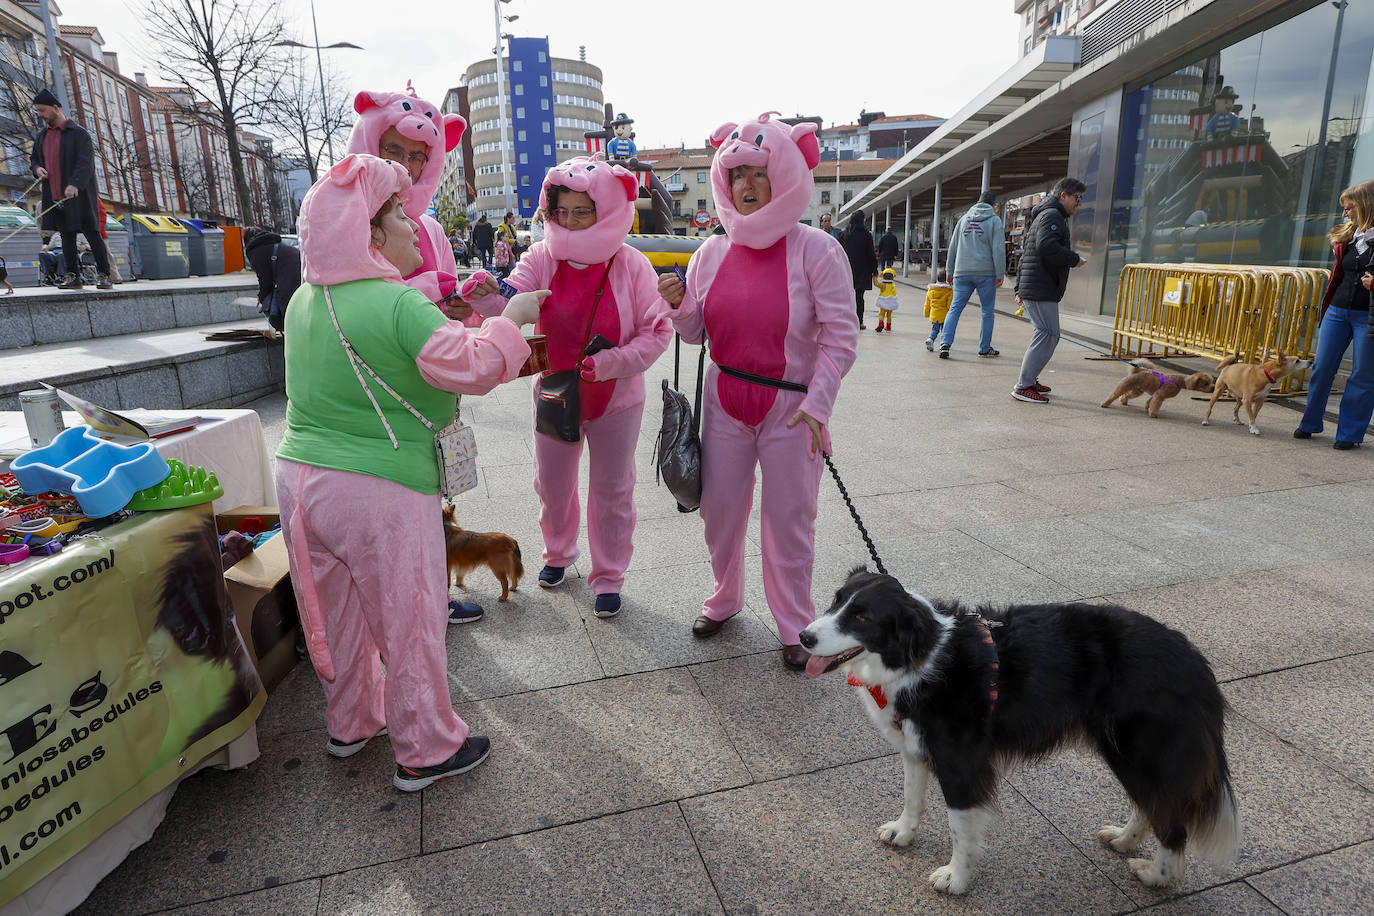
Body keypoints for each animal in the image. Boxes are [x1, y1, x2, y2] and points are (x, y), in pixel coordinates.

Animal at [802, 568, 1242, 900]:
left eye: (862, 617)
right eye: (835, 600)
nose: (805, 637)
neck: (920, 657)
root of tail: (1196, 661)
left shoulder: (961, 762)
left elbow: (961, 829)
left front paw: (956, 879)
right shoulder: (916, 746)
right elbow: (912, 796)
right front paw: (903, 832)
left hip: (1142, 749)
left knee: (1172, 820)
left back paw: (1155, 875)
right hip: (1123, 748)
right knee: (1153, 804)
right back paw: (1123, 839)